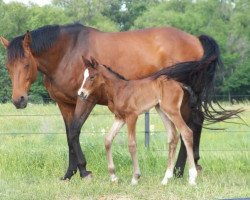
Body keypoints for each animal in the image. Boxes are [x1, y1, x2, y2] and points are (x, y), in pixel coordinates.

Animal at [78, 57, 197, 186]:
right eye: (84, 76)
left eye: (92, 76)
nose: (81, 93)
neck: (118, 90)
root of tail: (179, 84)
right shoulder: (119, 118)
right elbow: (108, 140)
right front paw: (113, 176)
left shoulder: (132, 116)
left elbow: (132, 144)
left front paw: (135, 178)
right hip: (162, 110)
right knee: (173, 137)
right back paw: (166, 179)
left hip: (172, 111)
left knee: (186, 132)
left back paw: (192, 178)